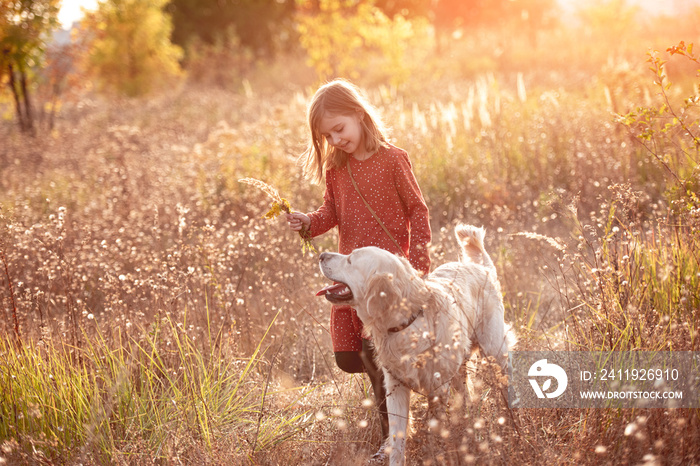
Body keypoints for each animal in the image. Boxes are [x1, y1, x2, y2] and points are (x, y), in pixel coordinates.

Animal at [318, 224, 516, 464]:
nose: (321, 255)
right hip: (458, 368)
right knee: (465, 397)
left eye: (350, 260)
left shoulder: (437, 390)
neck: (406, 324)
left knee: (506, 381)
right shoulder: (395, 387)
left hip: (495, 349)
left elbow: (436, 431)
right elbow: (397, 439)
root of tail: (480, 267)